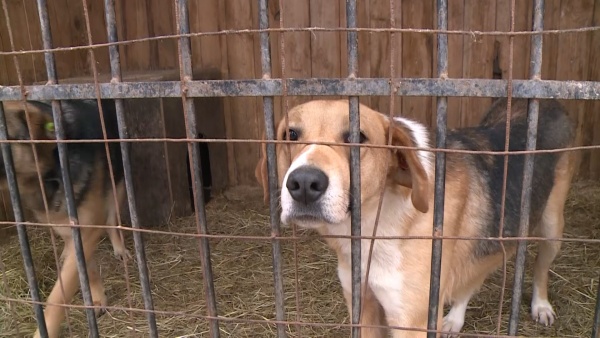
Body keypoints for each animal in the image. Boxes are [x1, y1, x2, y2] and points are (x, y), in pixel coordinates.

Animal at [0, 99, 131, 338]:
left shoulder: (88, 227)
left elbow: (58, 297)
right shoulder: (73, 231)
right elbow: (86, 269)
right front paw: (97, 299)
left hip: (118, 185)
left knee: (111, 219)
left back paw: (119, 248)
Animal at [254, 97, 576, 336]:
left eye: (358, 137)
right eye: (290, 135)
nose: (304, 183)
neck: (374, 227)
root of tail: (549, 101)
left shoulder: (410, 320)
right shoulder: (362, 304)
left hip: (552, 226)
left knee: (541, 266)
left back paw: (541, 306)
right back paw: (454, 319)